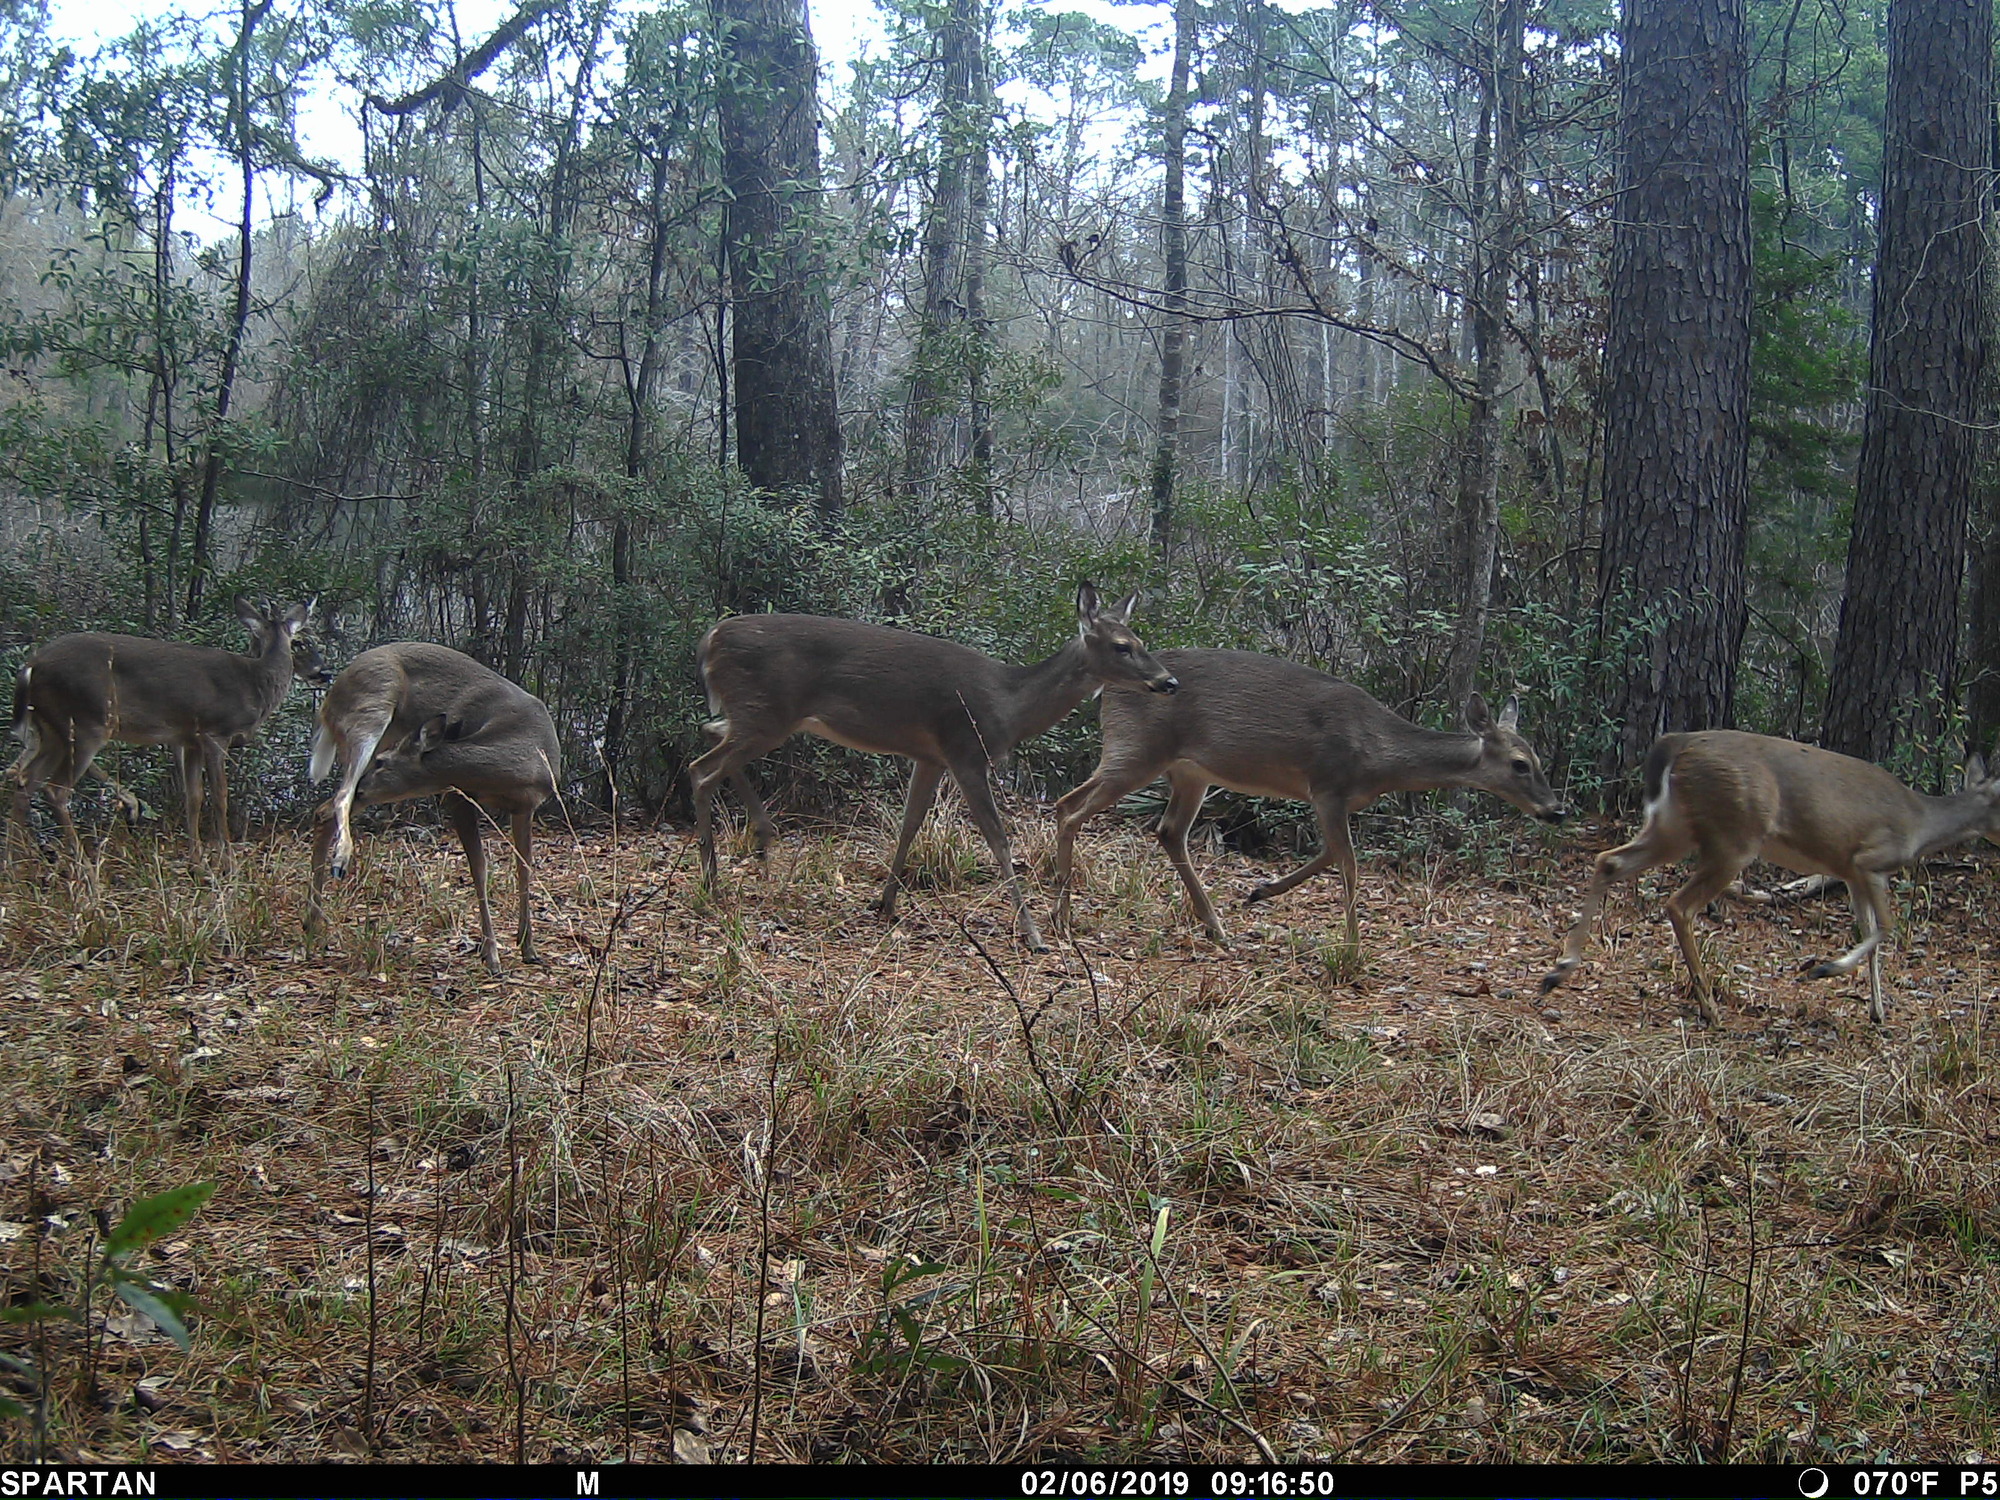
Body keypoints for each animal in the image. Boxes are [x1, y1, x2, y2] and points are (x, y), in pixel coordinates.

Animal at [9, 598, 319, 872]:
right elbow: (220, 795)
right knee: (56, 790)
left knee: (24, 782)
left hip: (52, 730)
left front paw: (198, 865)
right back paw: (84, 869)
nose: (323, 672)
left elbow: (193, 796)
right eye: (299, 642)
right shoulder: (215, 732)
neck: (254, 684)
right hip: (87, 722)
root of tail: (30, 666)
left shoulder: (189, 739)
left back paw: (17, 866)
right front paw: (228, 864)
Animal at [305, 643, 562, 974]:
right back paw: (339, 864)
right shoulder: (457, 796)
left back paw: (312, 924)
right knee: (339, 800)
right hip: (368, 716)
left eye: (383, 763)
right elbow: (479, 869)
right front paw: (491, 954)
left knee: (326, 809)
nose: (366, 784)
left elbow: (525, 867)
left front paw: (527, 946)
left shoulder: (526, 807)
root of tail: (334, 687)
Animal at [690, 583, 1179, 949]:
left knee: (709, 734)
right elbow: (998, 839)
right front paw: (1033, 933)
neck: (1011, 704)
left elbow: (911, 822)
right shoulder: (966, 750)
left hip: (755, 715)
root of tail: (710, 638)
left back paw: (761, 836)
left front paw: (886, 903)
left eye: (1142, 642)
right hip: (765, 711)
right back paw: (711, 879)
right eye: (1122, 646)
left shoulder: (930, 757)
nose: (1168, 681)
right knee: (701, 769)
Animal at [1050, 649, 1566, 947]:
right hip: (1136, 749)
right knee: (1069, 806)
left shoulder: (1338, 799)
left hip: (1190, 771)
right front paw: (1353, 948)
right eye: (1520, 764)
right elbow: (1349, 863)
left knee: (1168, 830)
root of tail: (1108, 688)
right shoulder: (1327, 785)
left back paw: (1216, 926)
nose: (1556, 811)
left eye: (1541, 759)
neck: (1379, 754)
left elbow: (1329, 854)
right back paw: (1061, 915)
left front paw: (1260, 891)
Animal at [1541, 729, 2000, 1026]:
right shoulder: (1869, 860)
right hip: (1735, 835)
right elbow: (1886, 928)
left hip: (1675, 826)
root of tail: (1677, 744)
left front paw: (1878, 1012)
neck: (1920, 824)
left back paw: (1559, 970)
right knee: (1679, 904)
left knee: (1609, 861)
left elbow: (1870, 931)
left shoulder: (1851, 872)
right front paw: (1825, 970)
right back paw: (1710, 1007)